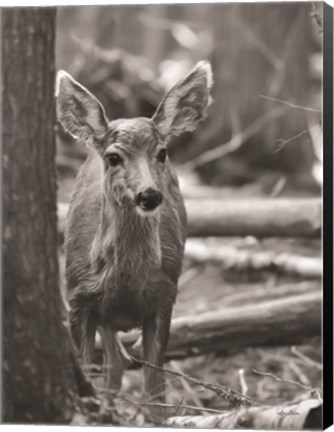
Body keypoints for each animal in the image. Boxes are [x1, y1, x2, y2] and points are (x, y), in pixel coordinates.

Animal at [54, 60, 211, 422]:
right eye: (113, 157)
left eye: (162, 153)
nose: (149, 195)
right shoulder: (78, 298)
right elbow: (90, 369)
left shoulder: (165, 296)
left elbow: (156, 394)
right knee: (115, 363)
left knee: (119, 363)